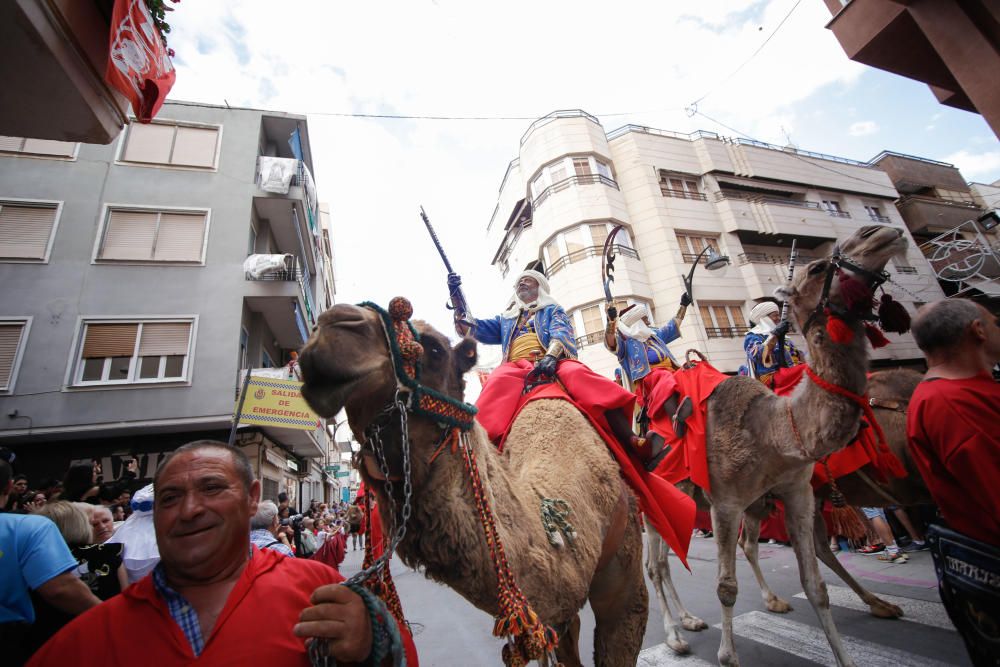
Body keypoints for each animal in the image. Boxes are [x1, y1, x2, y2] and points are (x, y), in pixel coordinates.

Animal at [644, 368, 932, 656]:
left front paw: (880, 604)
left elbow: (820, 553)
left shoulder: (800, 494)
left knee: (691, 556)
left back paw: (696, 617)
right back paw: (675, 635)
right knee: (654, 566)